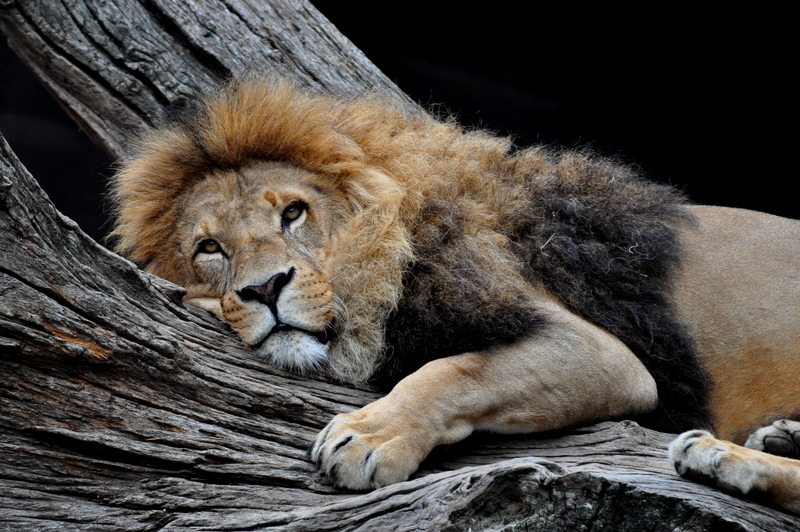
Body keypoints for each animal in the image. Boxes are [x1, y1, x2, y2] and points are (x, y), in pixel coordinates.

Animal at [112, 75, 800, 512]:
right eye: (210, 248)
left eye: (293, 213)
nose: (264, 288)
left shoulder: (604, 354)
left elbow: (454, 372)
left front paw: (368, 437)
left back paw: (724, 458)